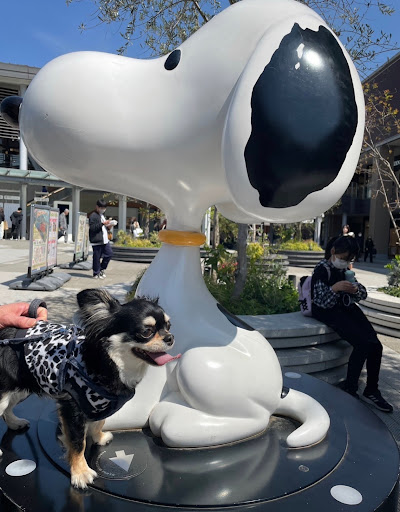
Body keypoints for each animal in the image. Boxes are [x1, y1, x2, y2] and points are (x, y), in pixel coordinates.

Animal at [0, 289, 178, 488]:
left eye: (169, 326)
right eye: (146, 331)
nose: (170, 337)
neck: (111, 363)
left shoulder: (100, 404)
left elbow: (99, 422)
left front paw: (98, 438)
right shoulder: (72, 408)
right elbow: (78, 443)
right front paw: (81, 473)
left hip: (20, 389)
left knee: (7, 410)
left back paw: (15, 423)